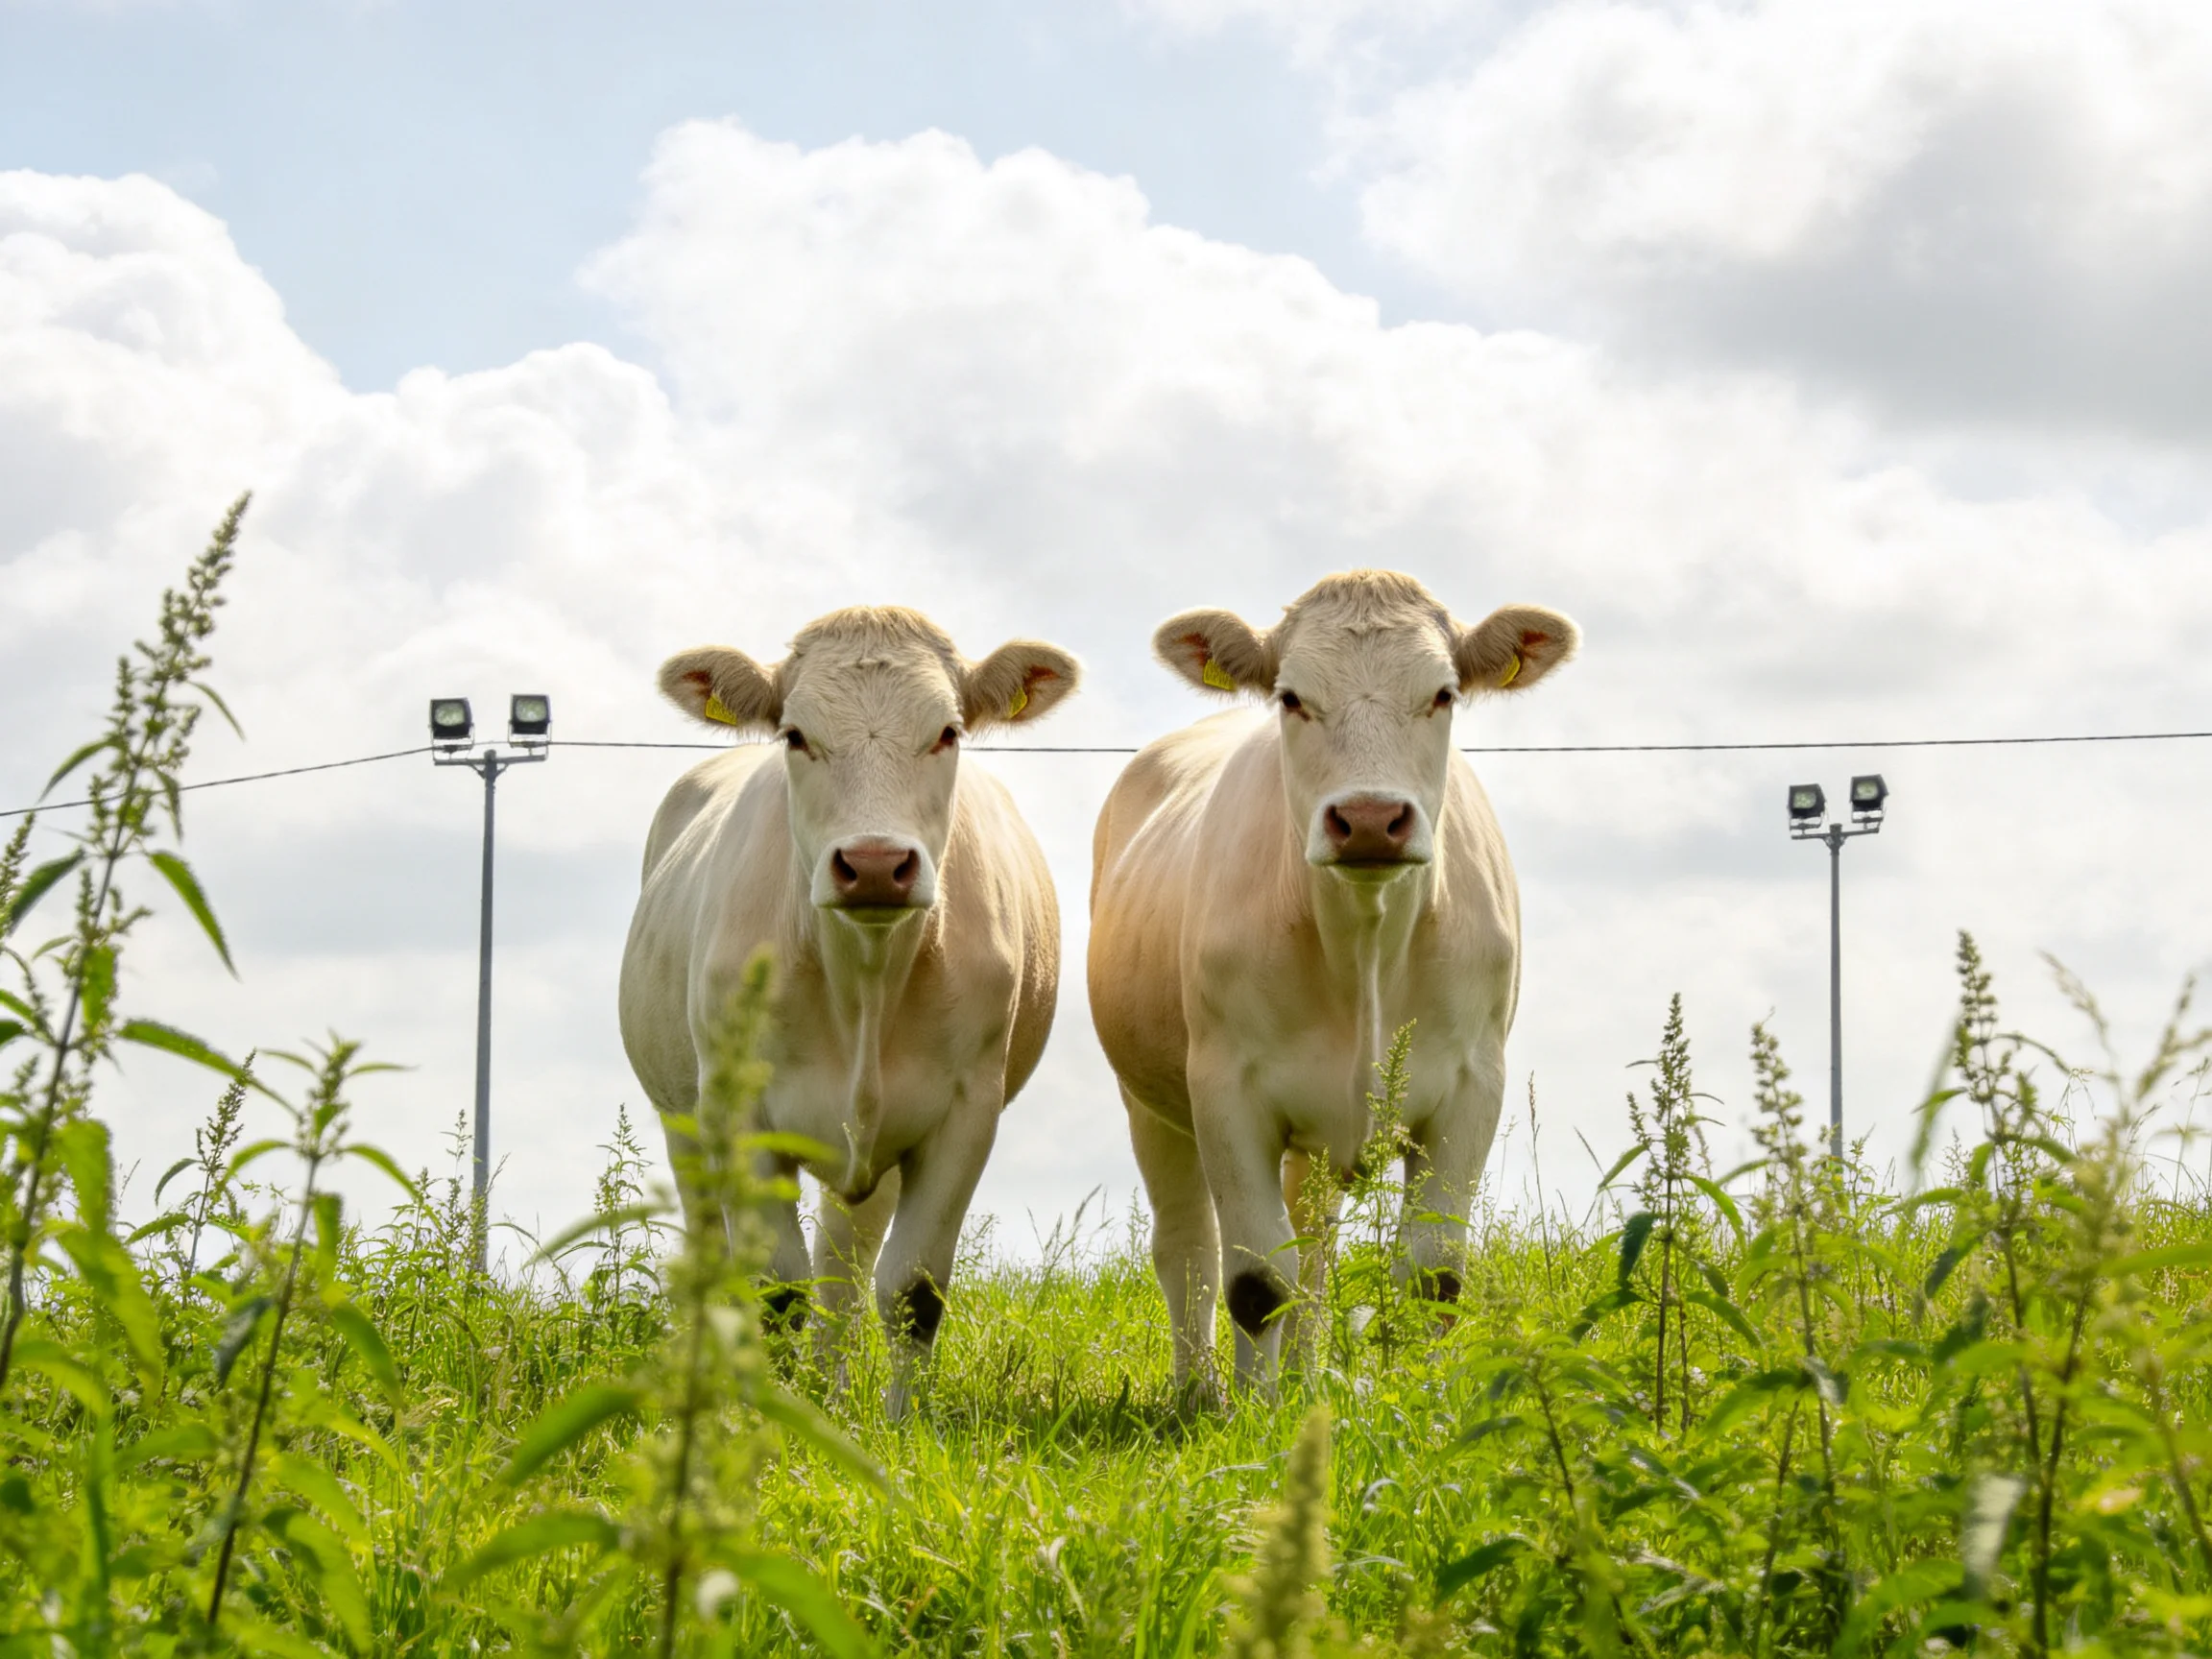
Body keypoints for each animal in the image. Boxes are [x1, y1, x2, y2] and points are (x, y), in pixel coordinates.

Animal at [619, 606, 1079, 1413]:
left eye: (948, 731)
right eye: (796, 735)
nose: (872, 865)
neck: (863, 978)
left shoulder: (965, 1114)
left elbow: (910, 1289)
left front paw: (899, 1423)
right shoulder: (740, 1115)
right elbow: (775, 1288)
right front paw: (764, 1418)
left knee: (844, 1266)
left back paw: (830, 1397)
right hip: (685, 1121)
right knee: (718, 1249)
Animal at [1087, 570, 1577, 1395]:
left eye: (1443, 693)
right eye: (1291, 697)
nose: (1371, 818)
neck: (1364, 945)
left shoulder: (1474, 1086)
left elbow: (1431, 1276)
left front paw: (1423, 1401)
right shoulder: (1225, 1089)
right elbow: (1257, 1280)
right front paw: (1253, 1412)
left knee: (1313, 1251)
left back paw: (1307, 1382)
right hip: (1147, 1102)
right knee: (1188, 1249)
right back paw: (1200, 1391)